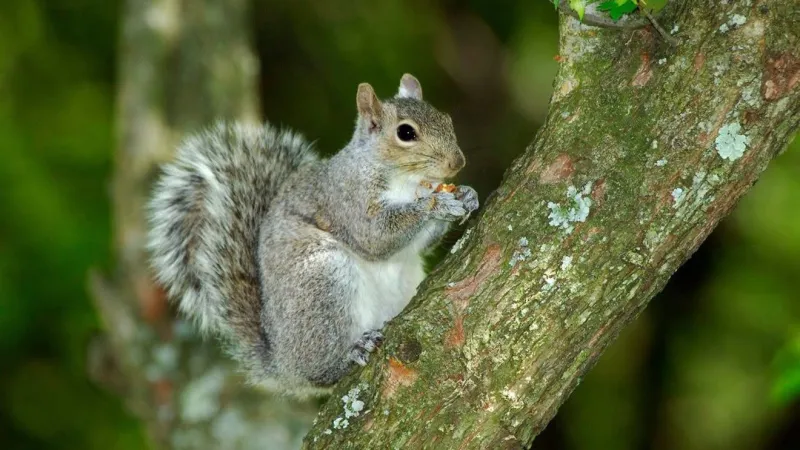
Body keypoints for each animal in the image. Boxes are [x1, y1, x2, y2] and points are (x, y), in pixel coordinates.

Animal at [147, 74, 479, 396]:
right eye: (406, 133)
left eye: (446, 119)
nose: (458, 163)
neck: (406, 182)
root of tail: (282, 363)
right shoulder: (347, 202)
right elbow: (375, 238)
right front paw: (435, 205)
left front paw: (467, 196)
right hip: (322, 282)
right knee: (320, 372)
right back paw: (349, 354)